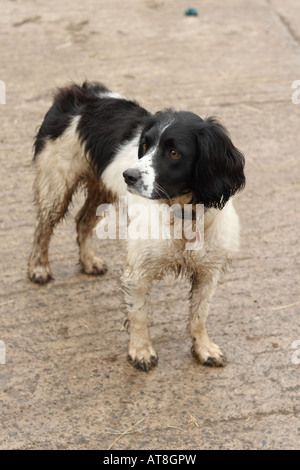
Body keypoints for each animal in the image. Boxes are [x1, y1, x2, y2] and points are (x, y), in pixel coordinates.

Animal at [27, 81, 245, 370]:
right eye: (144, 144)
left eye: (174, 152)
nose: (128, 175)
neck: (183, 214)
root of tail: (80, 90)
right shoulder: (137, 271)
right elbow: (139, 315)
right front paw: (141, 351)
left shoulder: (209, 271)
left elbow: (199, 316)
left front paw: (204, 349)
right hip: (57, 185)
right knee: (43, 228)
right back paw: (38, 268)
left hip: (101, 187)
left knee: (82, 221)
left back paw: (89, 262)